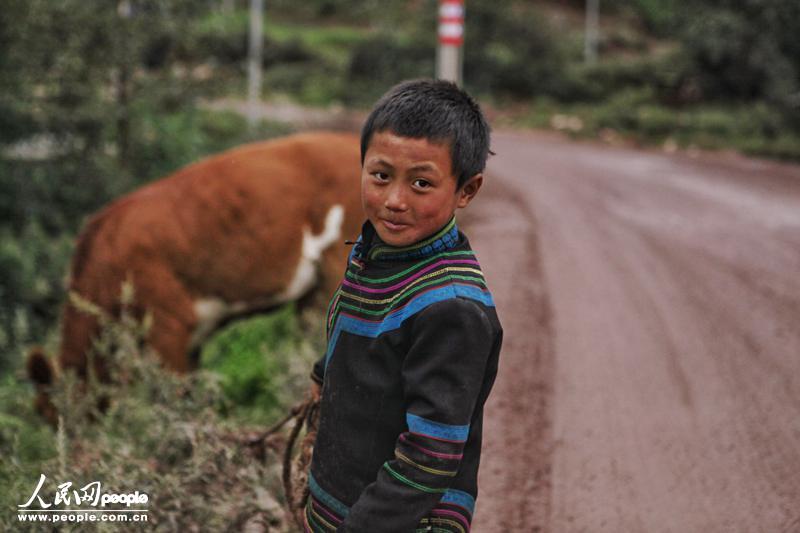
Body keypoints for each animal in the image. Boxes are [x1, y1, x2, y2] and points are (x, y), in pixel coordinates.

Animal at [28, 131, 364, 422]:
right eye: (46, 418)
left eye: (56, 413)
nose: (71, 449)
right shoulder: (191, 337)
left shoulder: (169, 324)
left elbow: (172, 399)